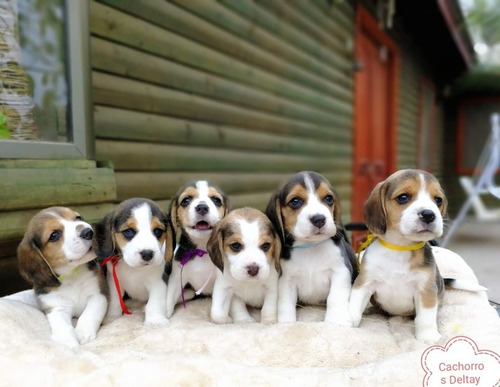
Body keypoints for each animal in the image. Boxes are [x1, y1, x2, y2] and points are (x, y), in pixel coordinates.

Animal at [17, 208, 107, 350]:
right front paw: (68, 344)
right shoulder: (56, 307)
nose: (89, 232)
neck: (72, 275)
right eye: (54, 235)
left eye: (78, 218)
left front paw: (83, 334)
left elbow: (89, 314)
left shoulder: (97, 294)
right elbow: (62, 326)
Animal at [168, 180, 230, 316]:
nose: (202, 207)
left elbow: (217, 311)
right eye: (186, 200)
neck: (202, 250)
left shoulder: (222, 280)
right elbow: (166, 303)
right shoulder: (176, 279)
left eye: (216, 200)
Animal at [264, 171, 358, 326]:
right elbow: (285, 304)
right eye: (295, 201)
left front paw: (335, 321)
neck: (311, 246)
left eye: (328, 198)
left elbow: (335, 298)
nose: (319, 219)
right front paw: (286, 323)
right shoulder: (287, 280)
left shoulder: (340, 272)